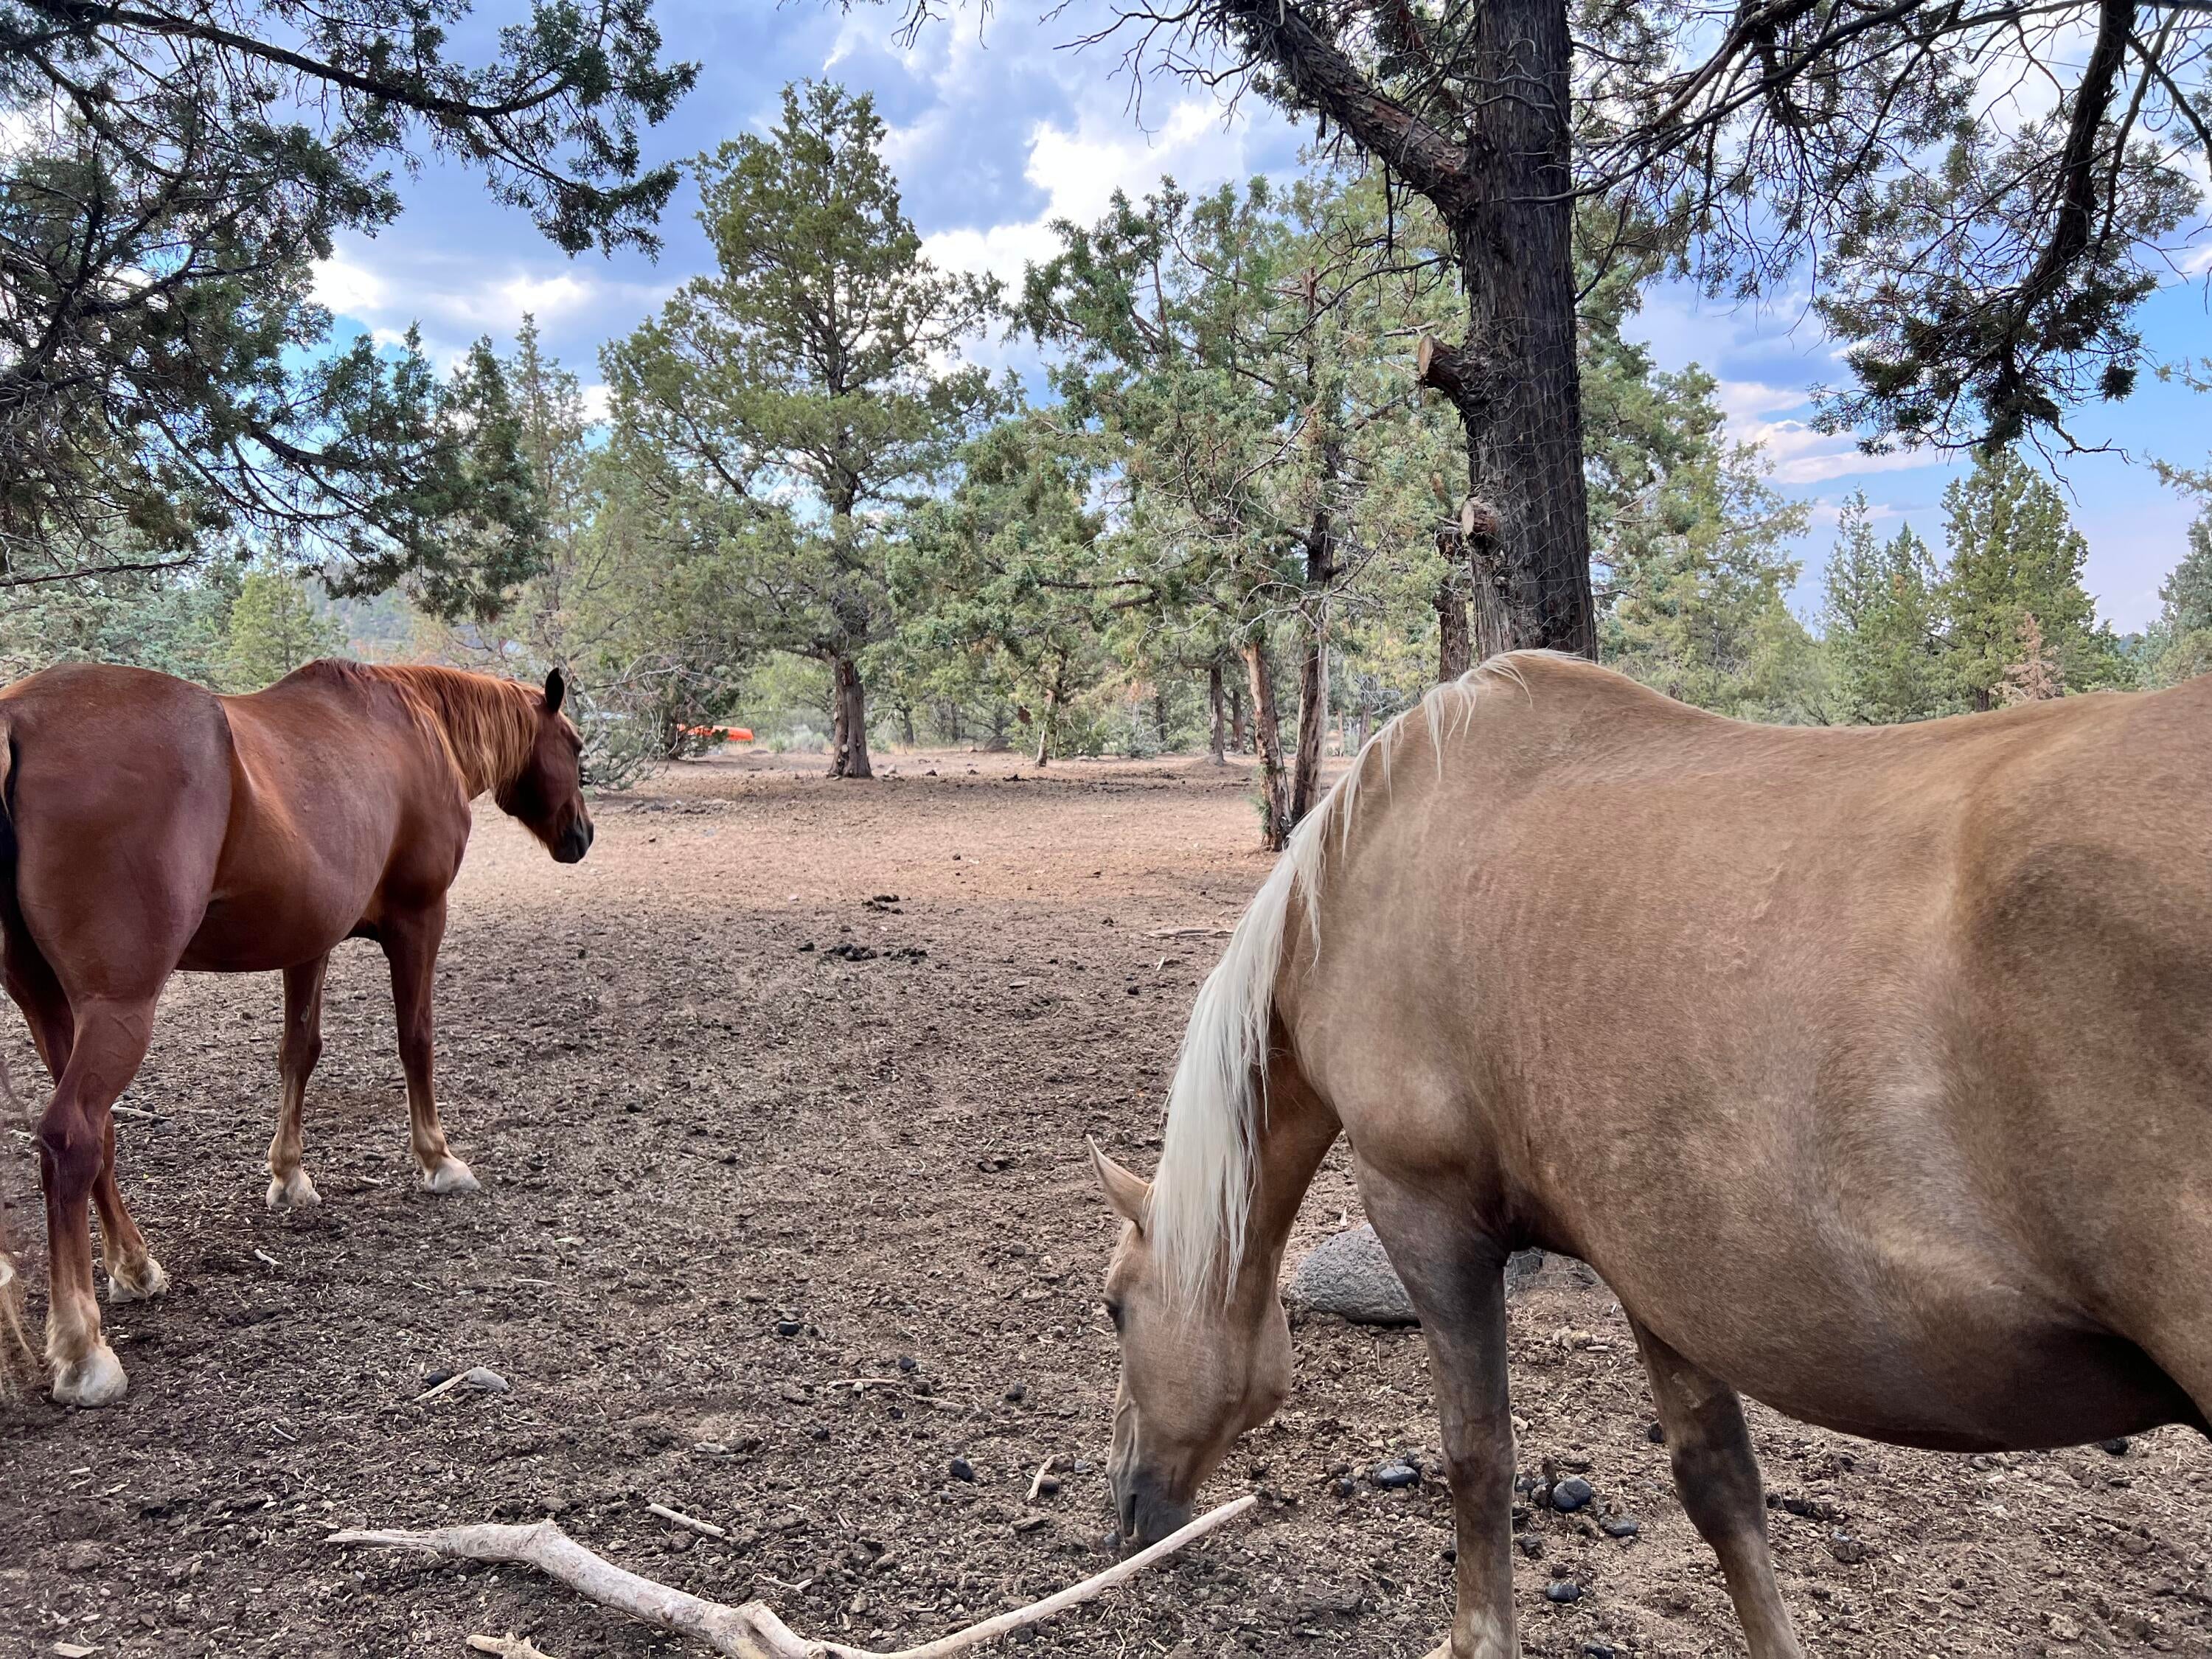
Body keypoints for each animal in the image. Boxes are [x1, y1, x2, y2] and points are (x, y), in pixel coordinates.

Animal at [0, 659, 593, 1407]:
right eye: (575, 748)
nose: (582, 835)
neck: (416, 725)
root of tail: (17, 719)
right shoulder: (420, 919)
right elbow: (416, 1040)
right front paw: (437, 1159)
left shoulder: (310, 941)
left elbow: (299, 1053)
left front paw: (289, 1174)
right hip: (117, 1008)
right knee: (72, 1135)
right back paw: (83, 1349)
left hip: (47, 1004)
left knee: (94, 1137)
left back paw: (134, 1267)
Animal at [1088, 650, 2212, 1659]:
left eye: (1114, 1308)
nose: (1127, 1502)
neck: (1366, 873)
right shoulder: (1659, 1263)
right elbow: (1720, 1485)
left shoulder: (1424, 1211)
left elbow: (1477, 1456)